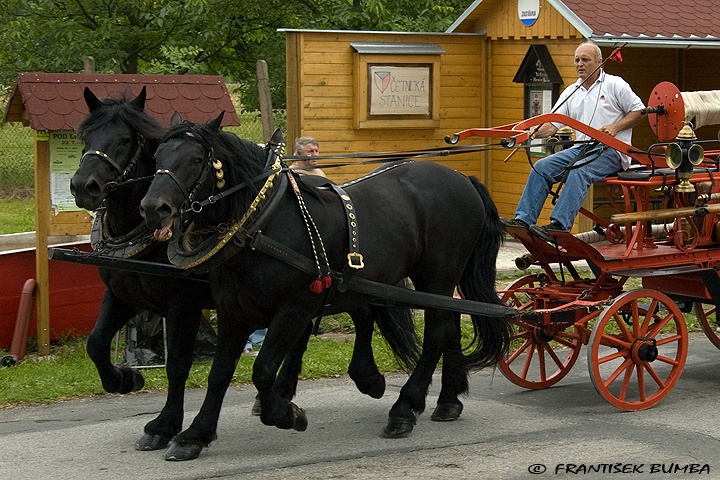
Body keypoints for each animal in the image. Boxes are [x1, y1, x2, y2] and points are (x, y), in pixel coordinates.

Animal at [141, 113, 512, 462]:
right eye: (157, 154)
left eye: (196, 160)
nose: (152, 207)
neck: (263, 225)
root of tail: (464, 178)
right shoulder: (235, 313)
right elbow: (219, 375)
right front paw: (194, 435)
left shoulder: (293, 310)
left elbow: (262, 371)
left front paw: (286, 414)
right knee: (448, 327)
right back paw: (445, 400)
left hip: (437, 276)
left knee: (436, 334)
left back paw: (404, 409)